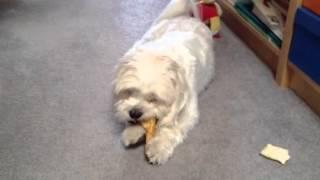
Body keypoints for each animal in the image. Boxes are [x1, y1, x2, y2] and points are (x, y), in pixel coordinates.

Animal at [114, 0, 216, 164]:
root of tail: (188, 18)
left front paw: (158, 147)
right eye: (129, 92)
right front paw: (133, 131)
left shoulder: (187, 109)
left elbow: (171, 128)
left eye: (154, 99)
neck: (162, 53)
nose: (134, 112)